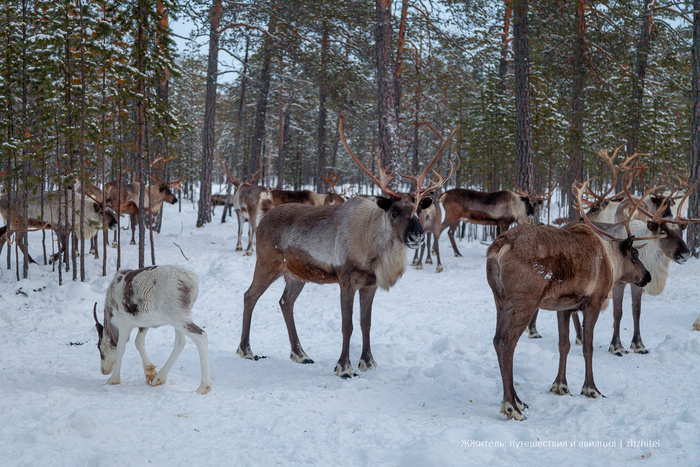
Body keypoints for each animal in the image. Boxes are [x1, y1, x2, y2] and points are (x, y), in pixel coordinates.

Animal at [94, 266, 212, 394]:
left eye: (99, 347)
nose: (103, 370)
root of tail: (192, 282)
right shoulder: (144, 324)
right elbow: (138, 342)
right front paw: (150, 373)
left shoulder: (124, 322)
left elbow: (121, 349)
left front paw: (113, 380)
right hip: (178, 318)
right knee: (180, 342)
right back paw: (159, 378)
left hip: (177, 316)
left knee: (201, 336)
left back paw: (203, 387)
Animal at [486, 223, 652, 420]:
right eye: (635, 254)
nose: (647, 276)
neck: (612, 263)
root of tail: (500, 244)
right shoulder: (593, 303)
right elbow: (588, 347)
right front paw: (591, 389)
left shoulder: (563, 307)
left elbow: (564, 345)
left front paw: (560, 386)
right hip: (524, 302)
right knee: (507, 343)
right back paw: (512, 407)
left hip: (500, 301)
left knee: (497, 340)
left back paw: (519, 401)